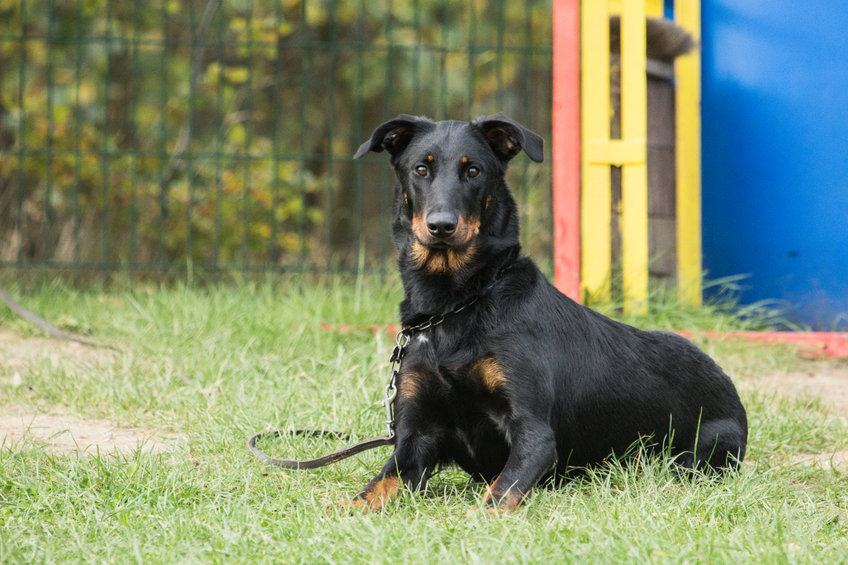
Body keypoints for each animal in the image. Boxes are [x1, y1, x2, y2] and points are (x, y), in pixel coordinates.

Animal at [348, 113, 744, 512]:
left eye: (473, 171)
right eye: (421, 169)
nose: (441, 226)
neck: (456, 303)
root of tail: (729, 387)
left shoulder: (534, 433)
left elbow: (495, 497)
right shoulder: (417, 436)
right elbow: (371, 490)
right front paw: (345, 510)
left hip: (696, 456)